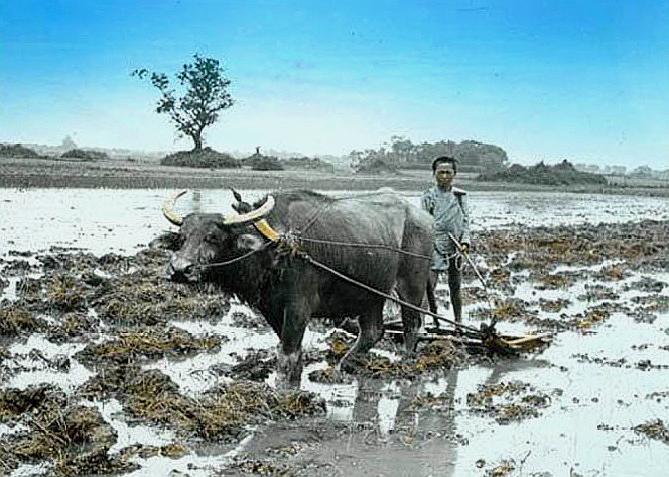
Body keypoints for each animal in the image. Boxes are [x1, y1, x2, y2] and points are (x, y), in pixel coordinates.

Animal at [162, 189, 434, 384]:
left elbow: (287, 355)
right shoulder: (271, 308)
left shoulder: (299, 308)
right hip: (370, 295)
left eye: (213, 237)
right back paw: (343, 366)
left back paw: (405, 363)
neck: (275, 247)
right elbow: (293, 352)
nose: (179, 270)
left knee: (412, 324)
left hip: (411, 285)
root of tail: (425, 218)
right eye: (182, 237)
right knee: (373, 331)